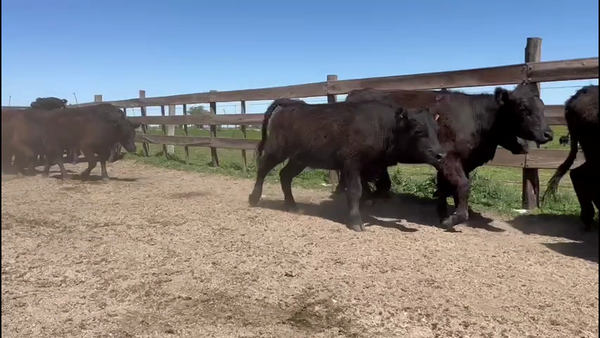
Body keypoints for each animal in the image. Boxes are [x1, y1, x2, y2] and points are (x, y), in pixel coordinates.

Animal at [247, 96, 446, 231]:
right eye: (418, 130)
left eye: (436, 130)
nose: (441, 154)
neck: (383, 126)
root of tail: (293, 104)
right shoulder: (351, 164)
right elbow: (355, 191)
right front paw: (356, 221)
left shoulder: (371, 167)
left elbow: (375, 188)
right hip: (276, 151)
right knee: (263, 169)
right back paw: (254, 198)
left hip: (299, 159)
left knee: (285, 176)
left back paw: (292, 206)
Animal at [344, 82, 552, 231]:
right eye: (523, 108)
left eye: (543, 107)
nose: (548, 133)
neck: (476, 118)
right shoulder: (448, 158)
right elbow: (462, 185)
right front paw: (454, 218)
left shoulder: (461, 161)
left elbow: (447, 187)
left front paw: (445, 212)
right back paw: (368, 198)